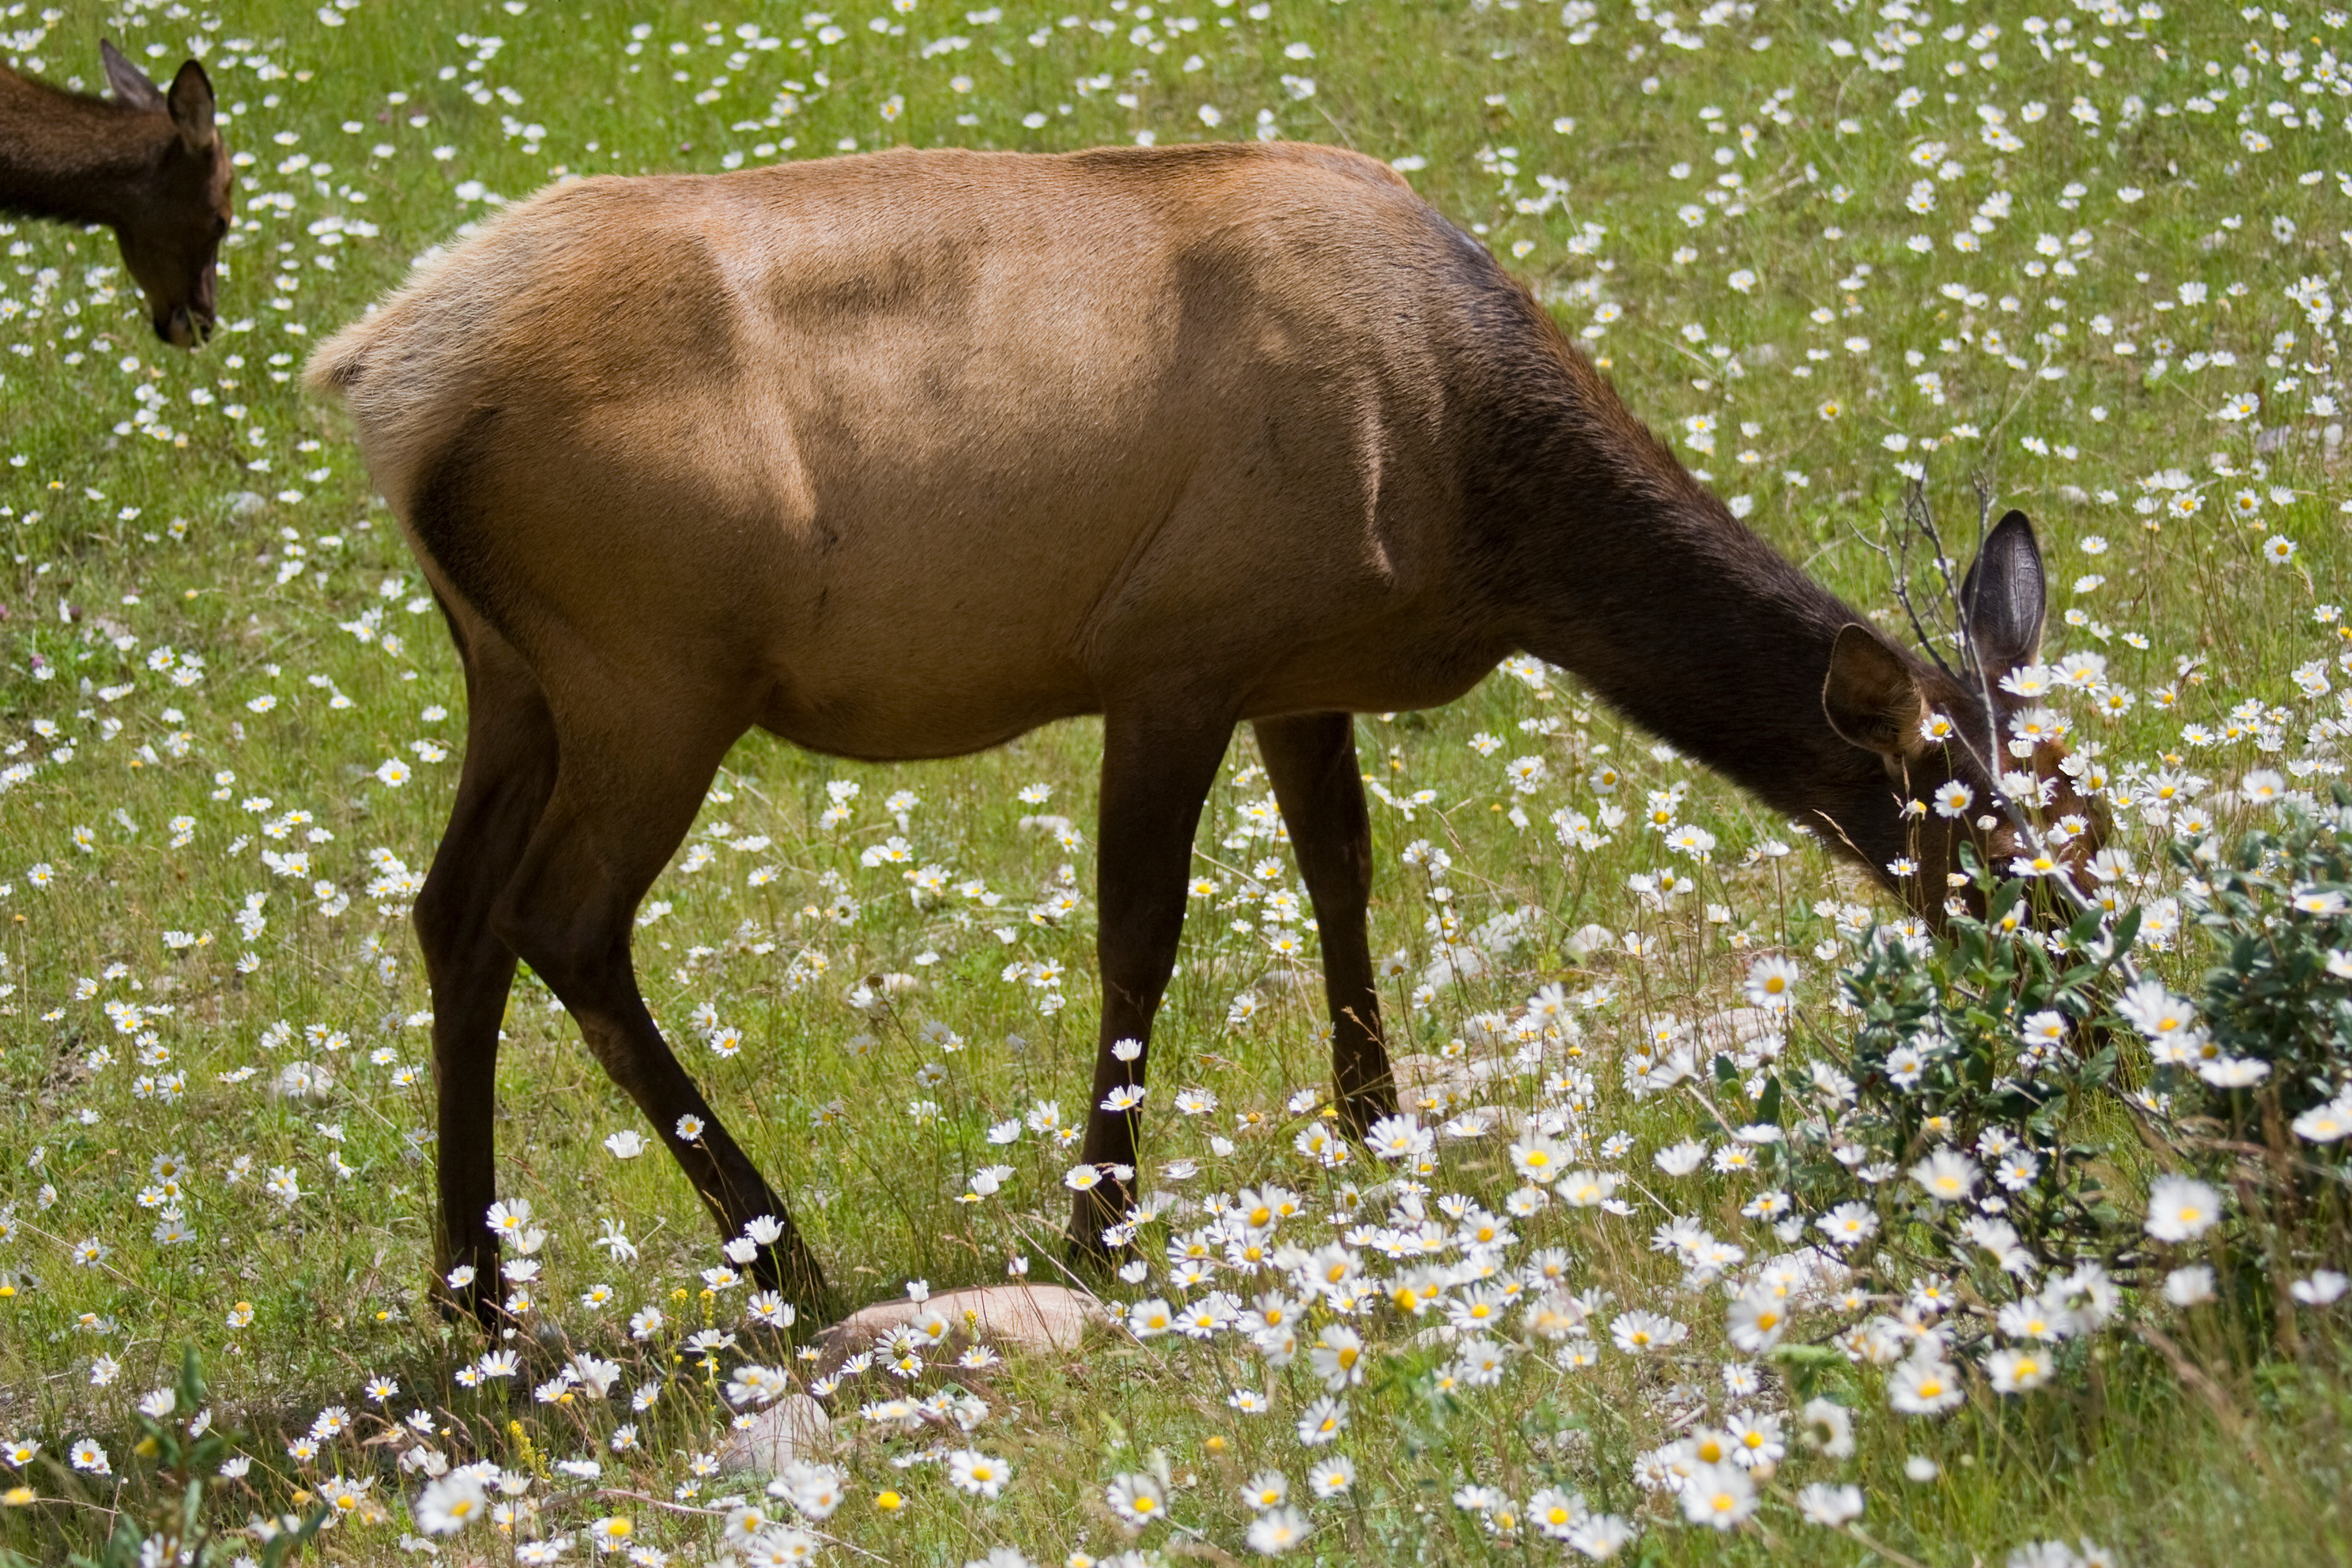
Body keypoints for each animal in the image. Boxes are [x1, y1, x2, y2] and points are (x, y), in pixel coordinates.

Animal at [303, 146, 2088, 1326]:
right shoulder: (1173, 652)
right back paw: (782, 1256)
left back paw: (479, 1289)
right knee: (564, 923)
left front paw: (1378, 1128)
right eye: (1986, 842)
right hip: (653, 674)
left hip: (513, 677)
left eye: (2095, 814)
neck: (1487, 515)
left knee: (452, 914)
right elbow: (1139, 934)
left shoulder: (1301, 663)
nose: (2091, 999)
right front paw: (1096, 1227)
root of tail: (385, 382)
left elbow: (1340, 868)